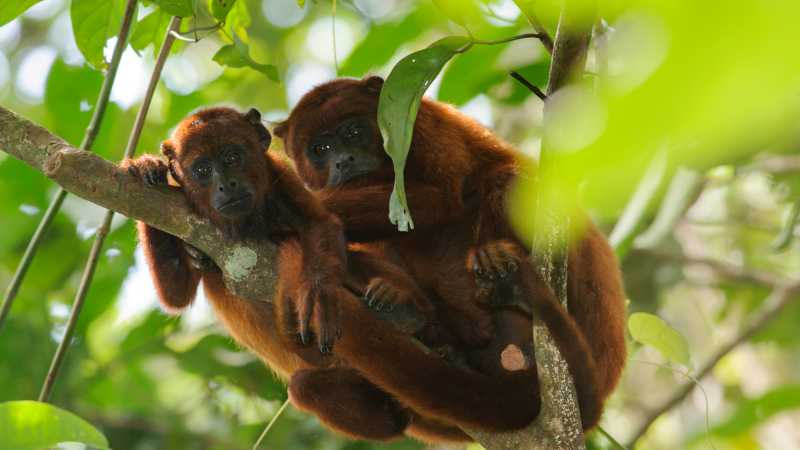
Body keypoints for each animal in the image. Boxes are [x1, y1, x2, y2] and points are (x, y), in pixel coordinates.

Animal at [123, 106, 570, 443]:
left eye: (233, 157)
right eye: (202, 170)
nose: (226, 185)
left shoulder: (280, 177)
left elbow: (323, 227)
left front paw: (316, 286)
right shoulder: (184, 209)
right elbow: (176, 295)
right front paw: (148, 168)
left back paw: (410, 313)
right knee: (309, 390)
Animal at [274, 76, 628, 434]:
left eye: (353, 131)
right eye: (320, 149)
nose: (343, 161)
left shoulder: (423, 126)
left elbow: (439, 197)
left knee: (508, 179)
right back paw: (413, 314)